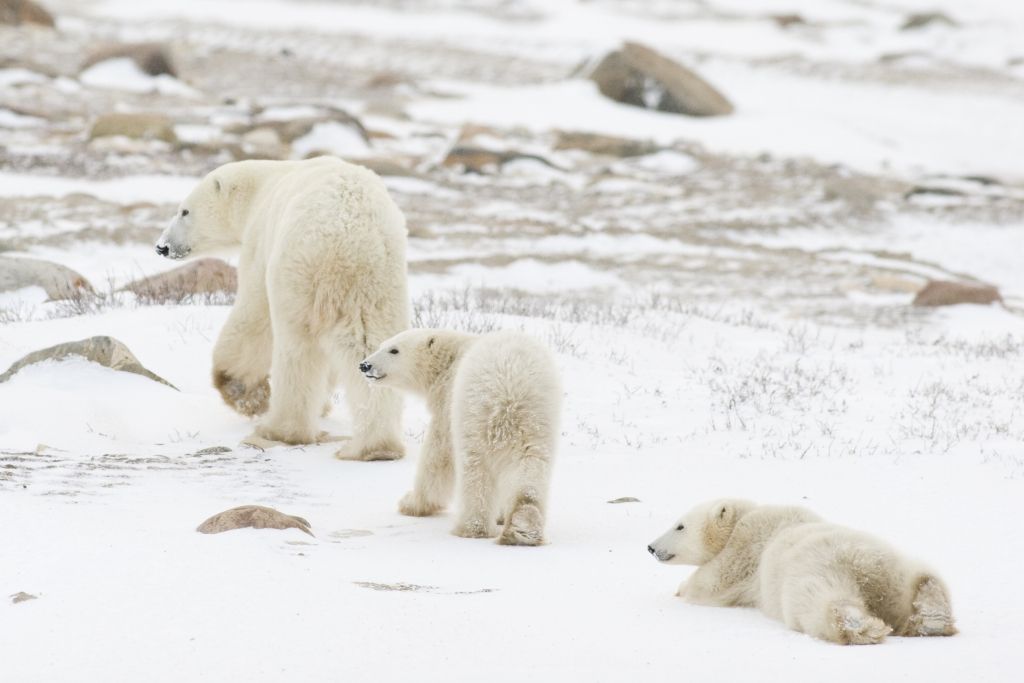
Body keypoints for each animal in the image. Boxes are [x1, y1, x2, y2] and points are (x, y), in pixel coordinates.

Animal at [155, 153, 407, 454]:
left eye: (184, 211)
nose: (162, 247)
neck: (263, 186)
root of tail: (350, 239)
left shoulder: (260, 242)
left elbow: (252, 313)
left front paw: (241, 390)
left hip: (300, 274)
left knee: (296, 348)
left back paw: (280, 430)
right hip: (380, 288)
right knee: (372, 345)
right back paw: (376, 445)